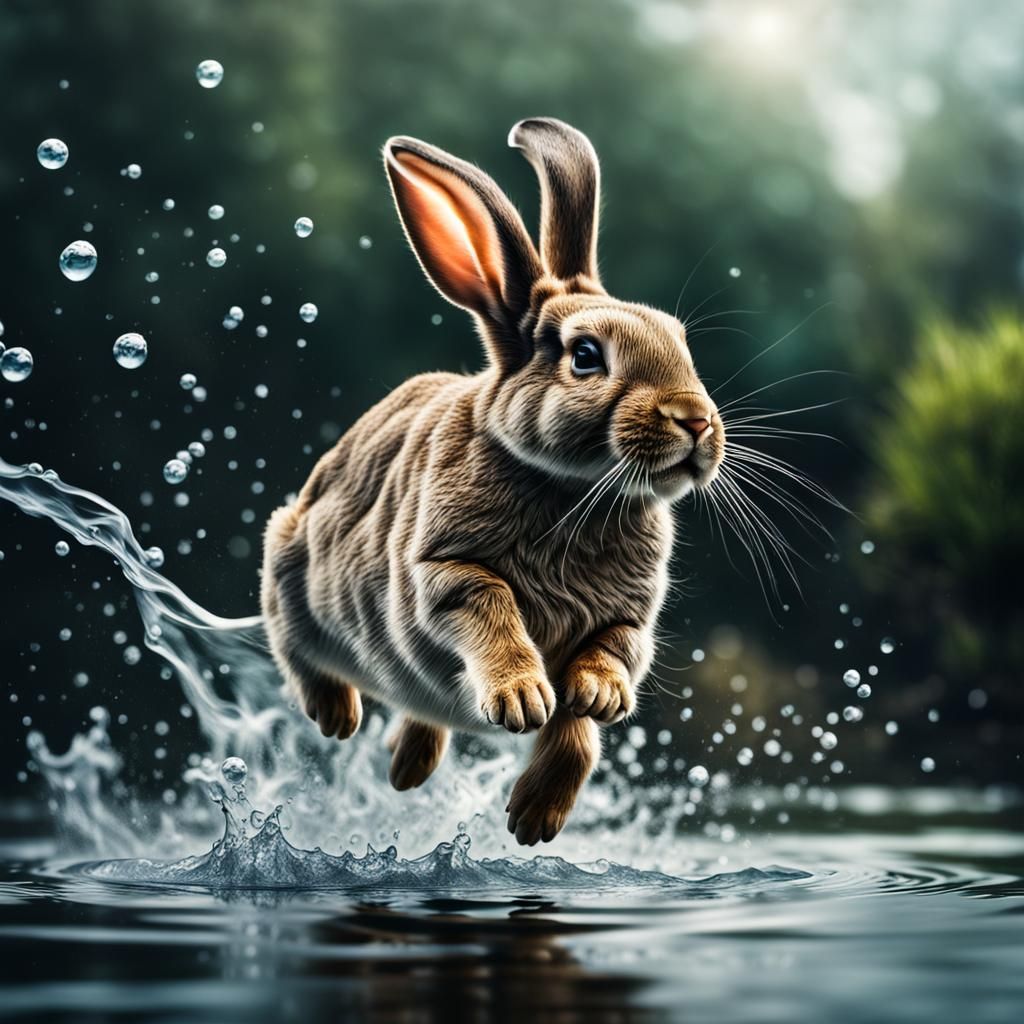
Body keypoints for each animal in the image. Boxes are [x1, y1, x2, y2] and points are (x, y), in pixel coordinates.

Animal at [261, 117, 725, 845]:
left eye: (680, 339)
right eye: (585, 356)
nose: (698, 421)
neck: (572, 489)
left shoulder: (627, 622)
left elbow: (588, 713)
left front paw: (538, 810)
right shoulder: (444, 570)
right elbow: (491, 607)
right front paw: (520, 700)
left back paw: (407, 770)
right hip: (289, 560)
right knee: (295, 646)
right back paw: (338, 718)